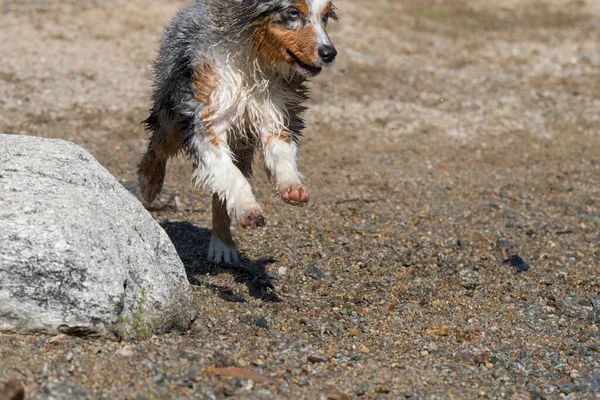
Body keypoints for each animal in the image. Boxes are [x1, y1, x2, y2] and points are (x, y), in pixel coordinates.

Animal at [138, 0, 340, 264]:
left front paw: (291, 186)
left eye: (325, 17)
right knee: (159, 145)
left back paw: (223, 243)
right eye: (293, 13)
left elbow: (280, 154)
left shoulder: (276, 114)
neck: (255, 60)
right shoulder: (207, 118)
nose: (329, 53)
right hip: (172, 112)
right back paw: (149, 183)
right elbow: (233, 176)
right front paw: (249, 209)